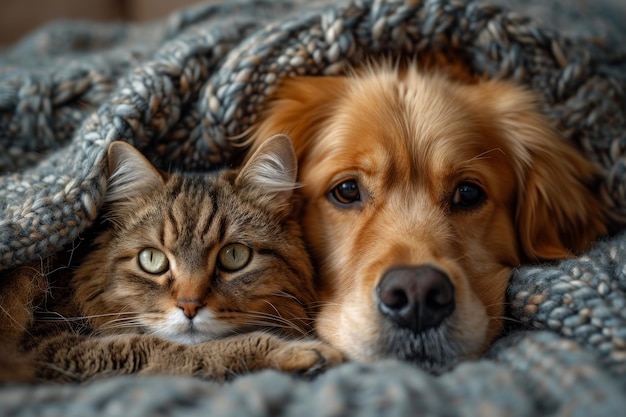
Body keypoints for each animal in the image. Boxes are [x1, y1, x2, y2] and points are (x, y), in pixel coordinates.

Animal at [0, 135, 342, 382]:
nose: (189, 306)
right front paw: (298, 353)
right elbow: (164, 348)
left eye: (234, 256)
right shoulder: (45, 348)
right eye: (152, 260)